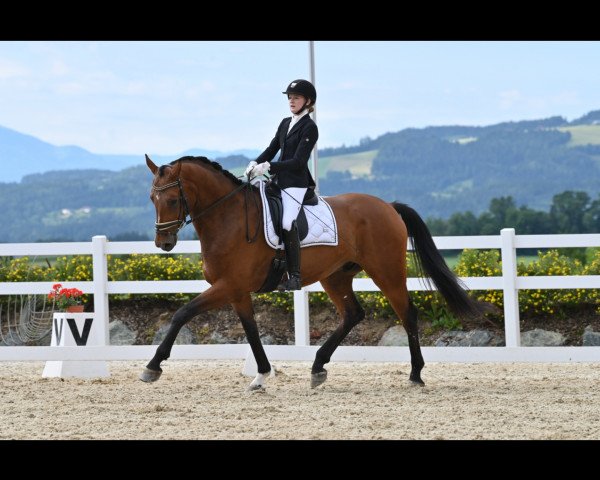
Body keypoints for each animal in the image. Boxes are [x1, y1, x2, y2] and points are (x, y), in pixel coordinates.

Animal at [141, 155, 482, 390]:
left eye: (173, 199)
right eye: (152, 198)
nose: (163, 243)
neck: (228, 218)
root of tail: (388, 206)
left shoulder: (228, 286)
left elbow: (182, 313)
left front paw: (153, 366)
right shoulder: (237, 291)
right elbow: (251, 332)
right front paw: (261, 376)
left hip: (386, 271)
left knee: (407, 313)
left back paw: (415, 375)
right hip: (336, 276)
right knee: (353, 314)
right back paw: (318, 367)